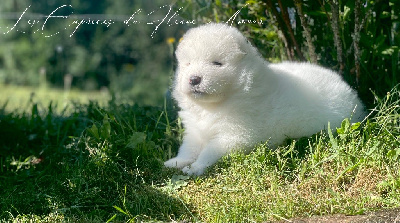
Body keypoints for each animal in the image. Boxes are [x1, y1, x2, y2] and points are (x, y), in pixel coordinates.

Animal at [164, 23, 368, 176]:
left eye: (217, 63)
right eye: (188, 64)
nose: (193, 79)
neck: (213, 106)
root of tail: (349, 90)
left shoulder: (236, 135)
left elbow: (210, 150)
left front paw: (196, 167)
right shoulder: (195, 130)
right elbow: (188, 148)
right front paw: (176, 162)